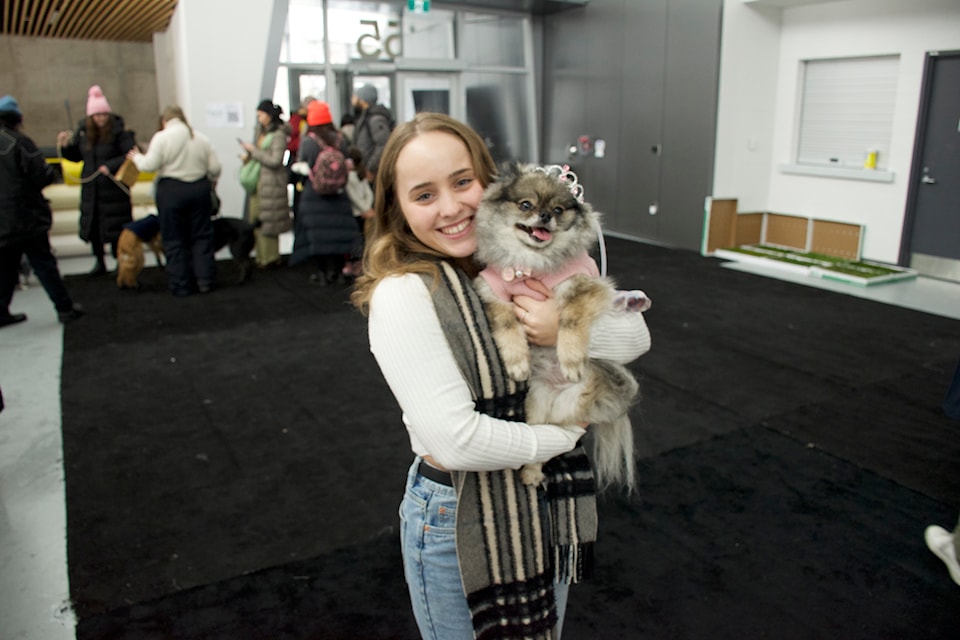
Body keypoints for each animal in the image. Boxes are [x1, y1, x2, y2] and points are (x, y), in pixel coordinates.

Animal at [474, 161, 644, 490]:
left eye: (558, 209)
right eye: (526, 205)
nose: (544, 216)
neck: (532, 265)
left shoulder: (583, 285)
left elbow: (571, 322)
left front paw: (571, 360)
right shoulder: (494, 292)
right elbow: (508, 325)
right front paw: (517, 363)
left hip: (573, 401)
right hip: (537, 407)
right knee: (539, 441)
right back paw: (530, 473)